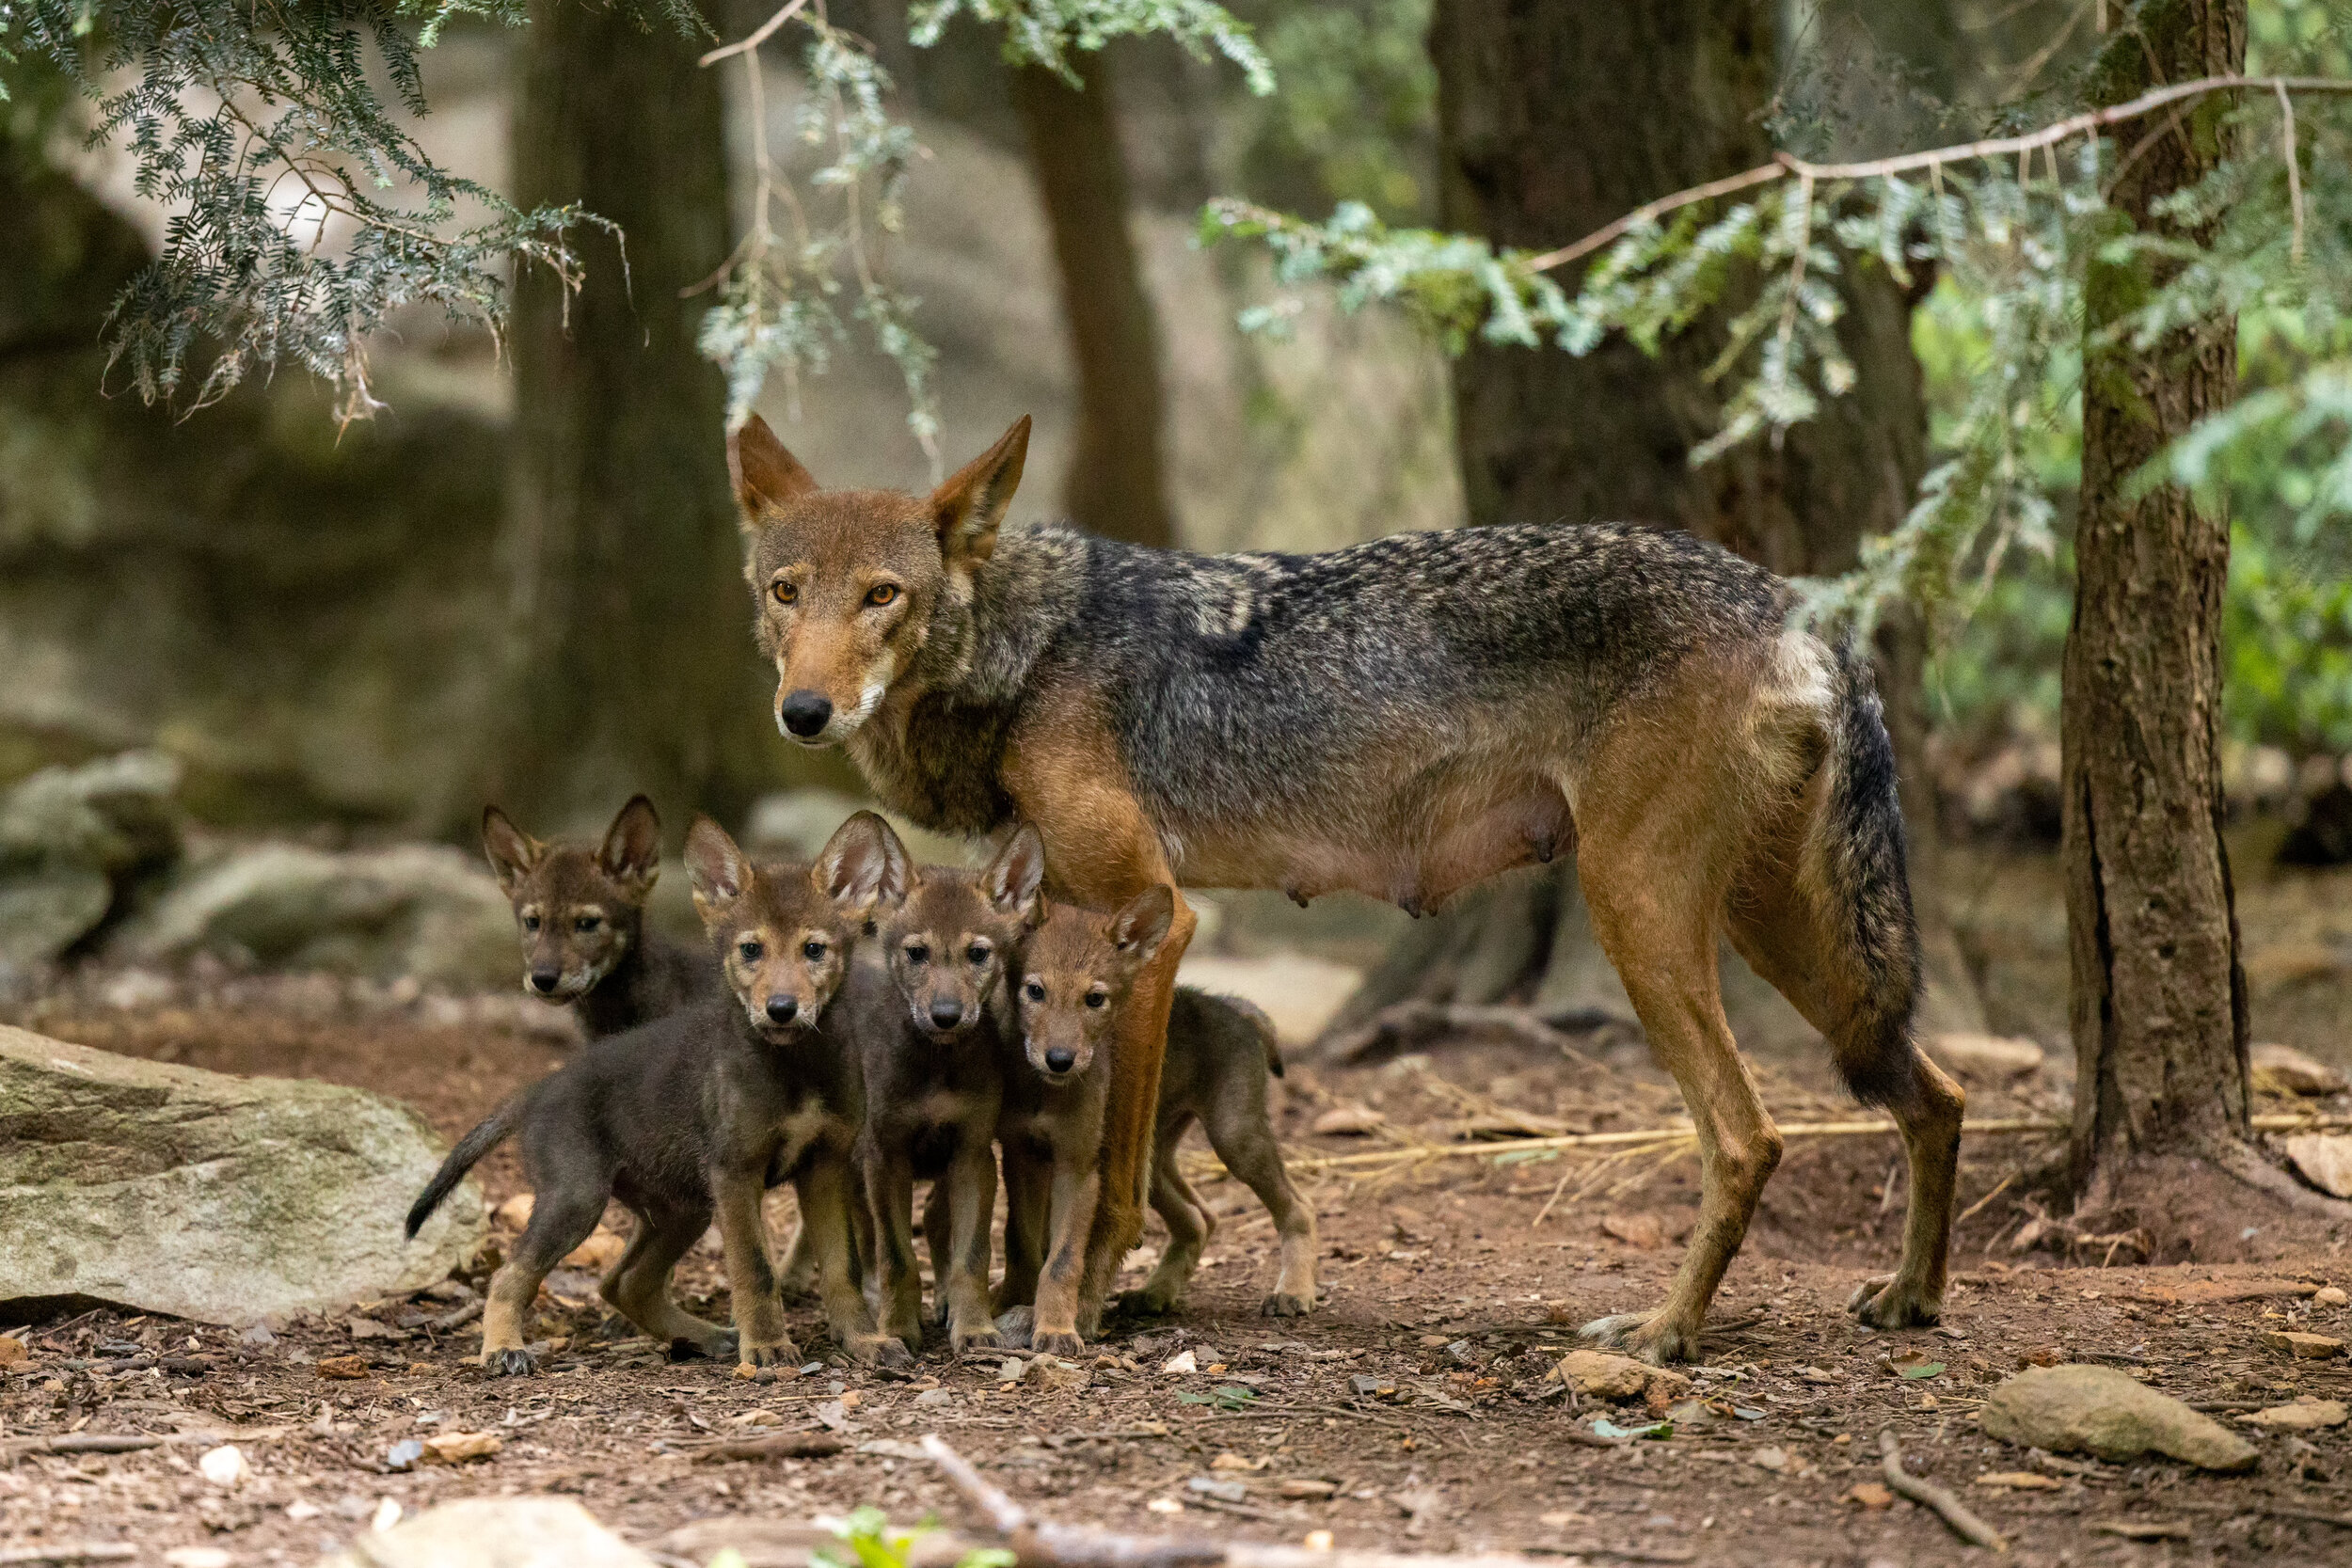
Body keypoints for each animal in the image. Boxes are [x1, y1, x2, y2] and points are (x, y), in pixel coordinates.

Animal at [722, 413, 1964, 1364]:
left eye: (882, 595)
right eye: (787, 592)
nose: (802, 711)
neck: (1029, 654)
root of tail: (1796, 604)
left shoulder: (1152, 917)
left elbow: (1112, 1172)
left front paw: (1078, 1307)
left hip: (1641, 918)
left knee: (1749, 1136)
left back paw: (1664, 1332)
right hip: (1775, 935)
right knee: (1935, 1091)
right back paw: (1909, 1297)